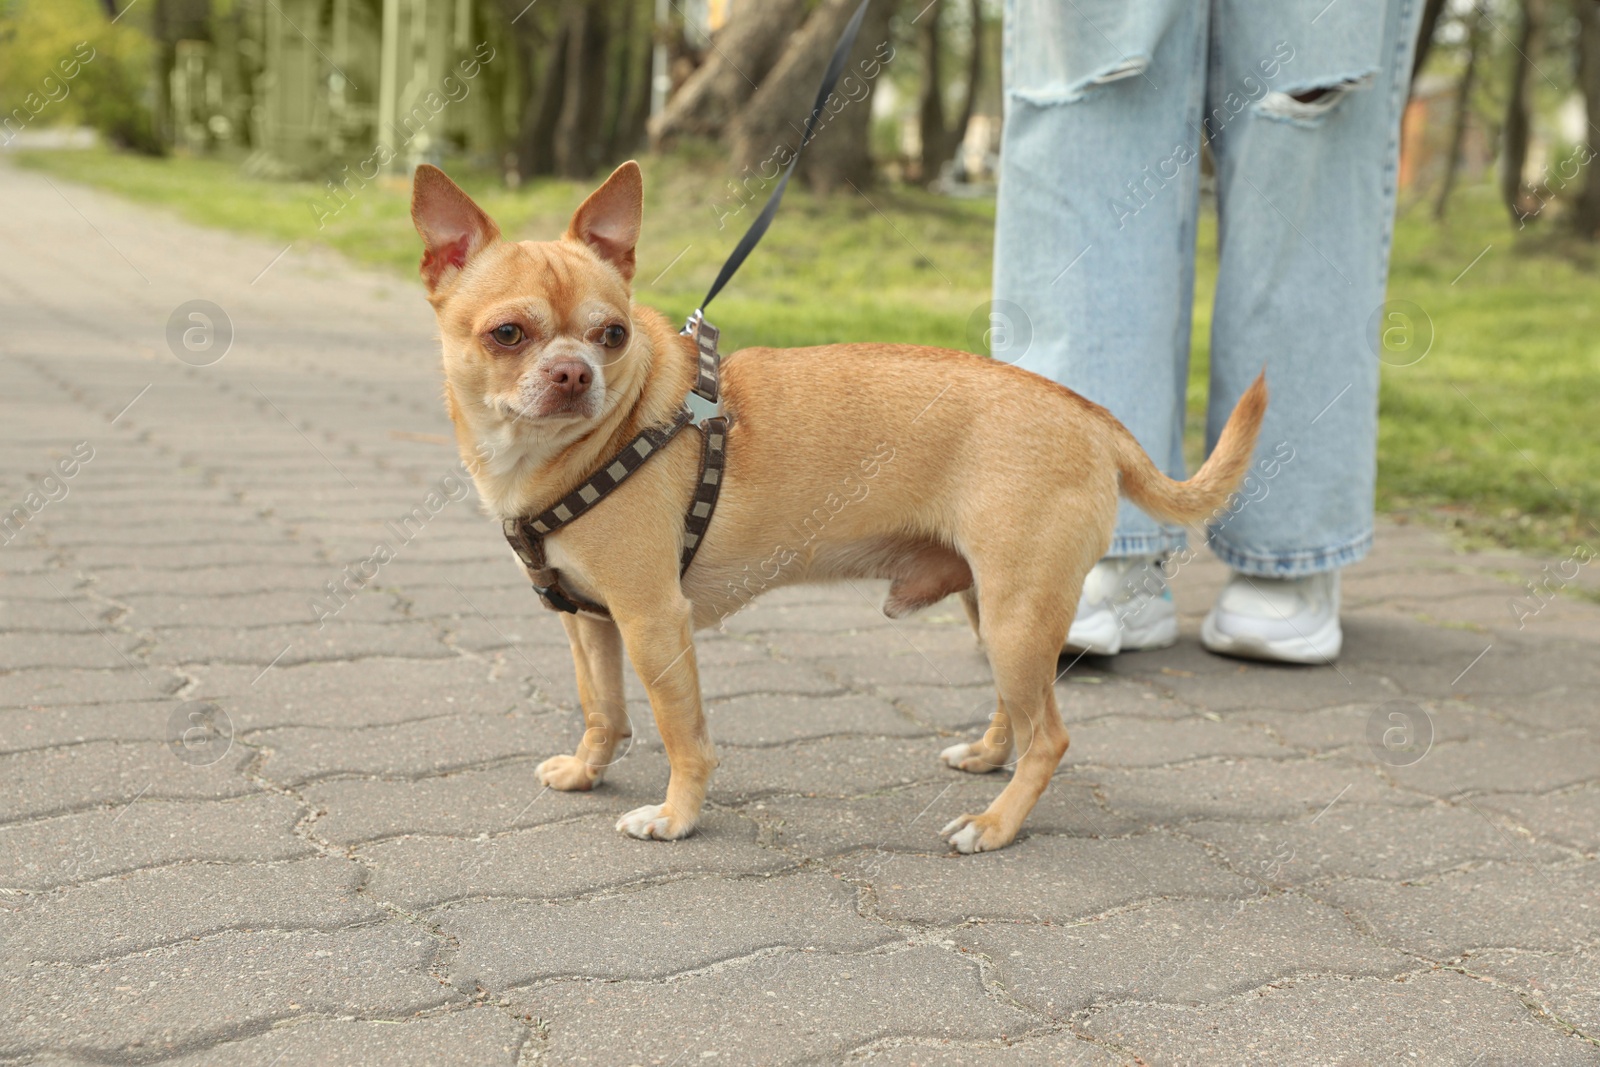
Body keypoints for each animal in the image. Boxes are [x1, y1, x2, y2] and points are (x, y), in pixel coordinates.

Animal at [419, 158, 1267, 857]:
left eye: (613, 335)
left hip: (1019, 614)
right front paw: (588, 769)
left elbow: (680, 730)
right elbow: (605, 708)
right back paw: (989, 758)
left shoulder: (654, 620)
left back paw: (995, 824)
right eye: (507, 333)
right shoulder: (592, 623)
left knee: (1051, 737)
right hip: (995, 611)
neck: (592, 443)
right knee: (1018, 709)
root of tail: (1090, 415)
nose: (574, 373)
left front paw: (676, 816)